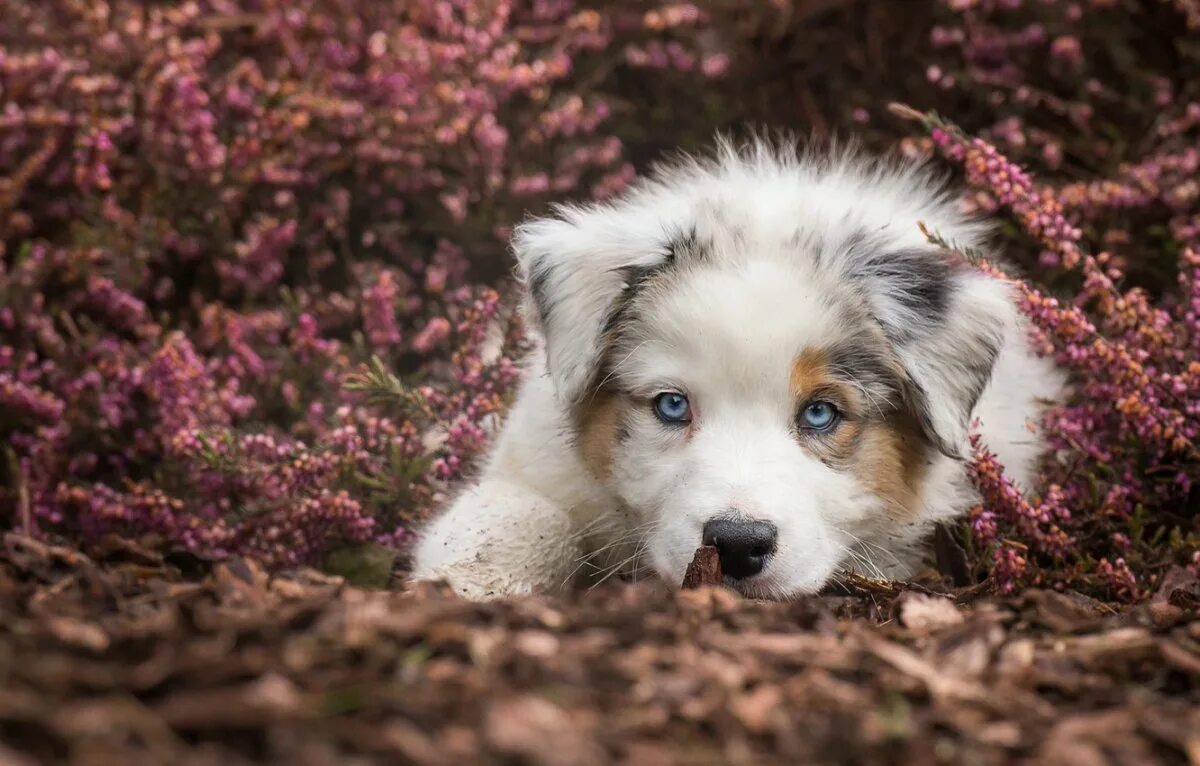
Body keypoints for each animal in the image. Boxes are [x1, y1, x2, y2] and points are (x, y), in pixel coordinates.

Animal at [410, 141, 1060, 602]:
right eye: (672, 405)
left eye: (820, 413)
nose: (738, 546)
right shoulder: (535, 460)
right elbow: (517, 511)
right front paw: (468, 585)